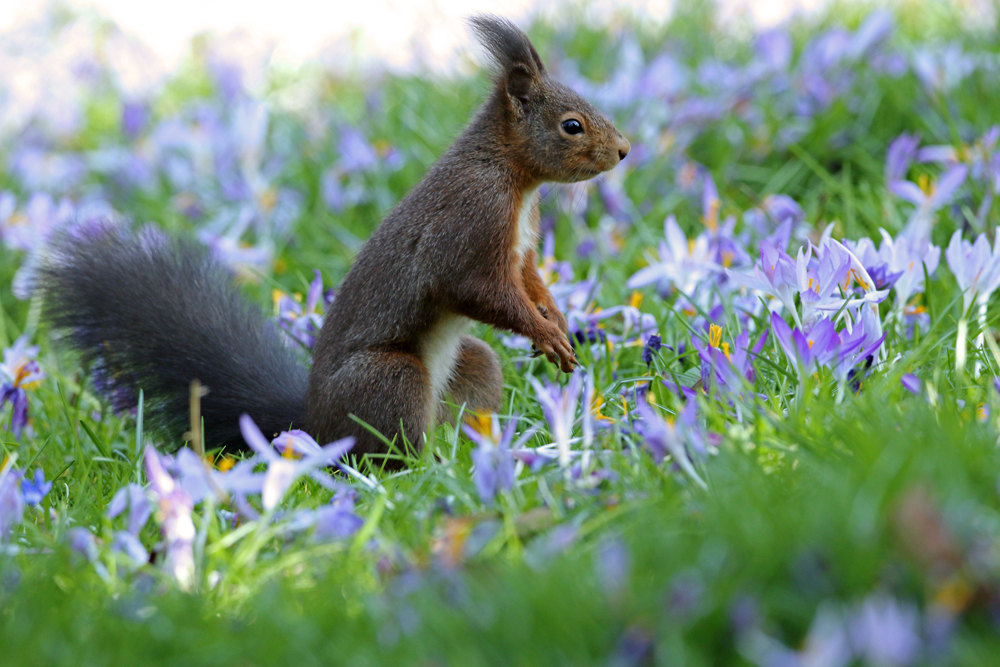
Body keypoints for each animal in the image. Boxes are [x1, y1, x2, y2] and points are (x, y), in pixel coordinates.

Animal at [43, 15, 632, 464]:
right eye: (572, 125)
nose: (624, 150)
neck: (513, 176)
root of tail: (314, 426)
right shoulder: (470, 223)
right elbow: (480, 290)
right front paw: (545, 332)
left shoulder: (521, 245)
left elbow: (530, 280)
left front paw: (555, 320)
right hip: (391, 377)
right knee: (386, 449)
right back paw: (425, 470)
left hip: (472, 368)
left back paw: (472, 452)